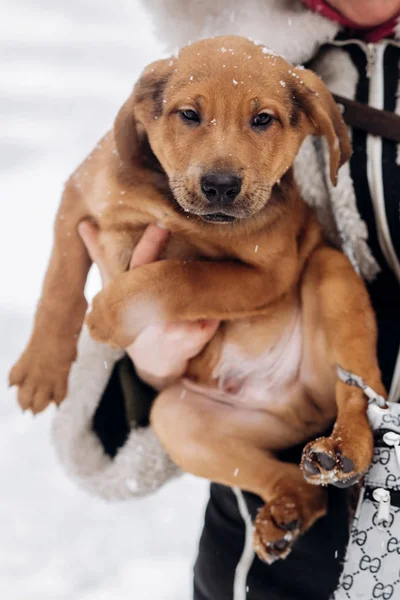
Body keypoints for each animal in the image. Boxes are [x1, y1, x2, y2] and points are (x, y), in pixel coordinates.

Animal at [9, 36, 384, 564]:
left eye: (263, 119)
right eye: (188, 114)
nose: (221, 186)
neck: (169, 203)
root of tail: (301, 410)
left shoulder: (268, 272)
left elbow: (180, 274)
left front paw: (106, 314)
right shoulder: (79, 194)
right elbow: (59, 283)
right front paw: (41, 370)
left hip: (331, 276)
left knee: (362, 396)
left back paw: (342, 450)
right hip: (178, 422)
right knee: (295, 484)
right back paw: (285, 515)